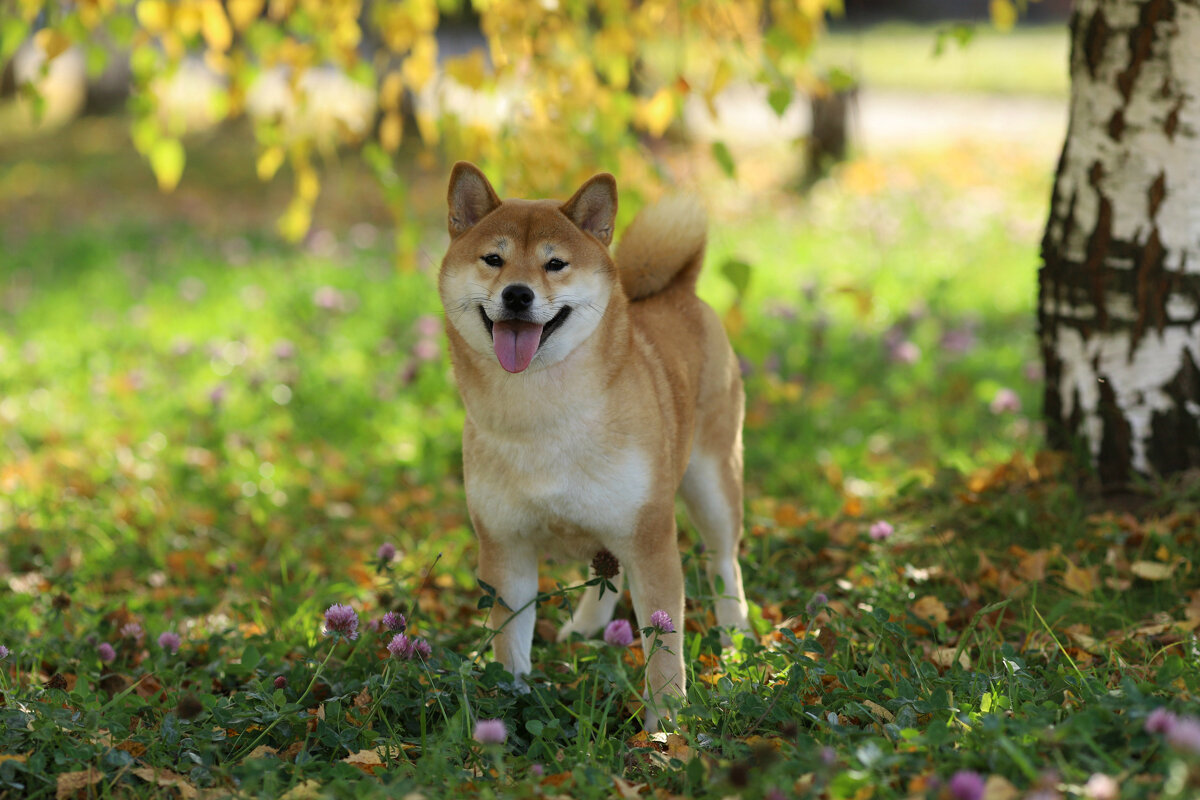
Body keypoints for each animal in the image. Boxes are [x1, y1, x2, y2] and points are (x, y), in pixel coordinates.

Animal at [436, 163, 753, 734]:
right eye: (493, 259)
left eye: (555, 263)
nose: (517, 294)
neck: (540, 416)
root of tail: (681, 289)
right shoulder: (506, 550)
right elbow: (511, 648)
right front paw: (510, 713)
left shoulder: (651, 542)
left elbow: (665, 655)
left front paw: (665, 728)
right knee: (606, 569)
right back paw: (585, 628)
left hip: (712, 485)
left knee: (724, 563)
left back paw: (736, 634)